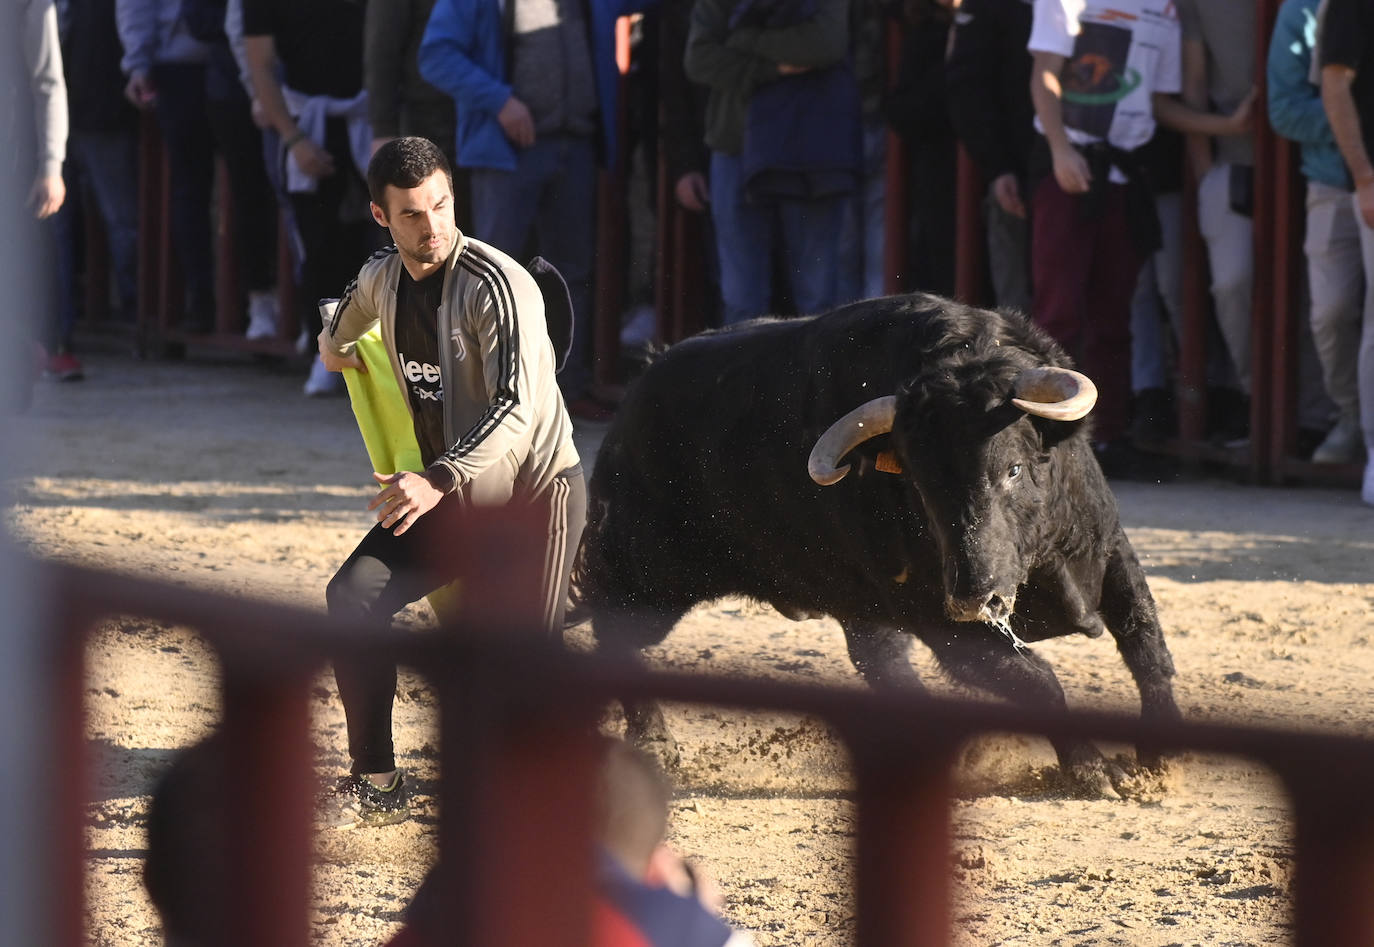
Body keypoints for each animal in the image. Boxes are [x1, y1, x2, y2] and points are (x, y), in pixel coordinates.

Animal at [574, 295, 1187, 797]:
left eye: (1012, 468)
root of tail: (635, 396)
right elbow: (1039, 682)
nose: (974, 598)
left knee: (881, 665)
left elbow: (1145, 640)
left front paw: (1161, 757)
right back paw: (656, 743)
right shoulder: (943, 624)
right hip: (650, 579)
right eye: (920, 484)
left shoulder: (1108, 546)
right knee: (613, 628)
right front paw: (1095, 771)